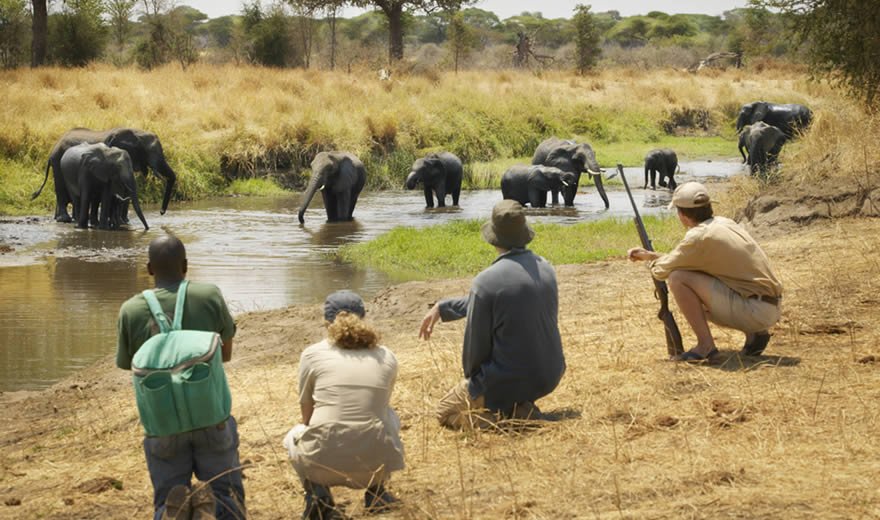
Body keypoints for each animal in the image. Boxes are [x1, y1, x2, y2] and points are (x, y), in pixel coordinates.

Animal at [33, 128, 177, 223]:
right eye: (150, 152)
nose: (161, 212)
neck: (138, 132)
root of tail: (54, 148)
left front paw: (124, 221)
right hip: (58, 162)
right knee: (61, 188)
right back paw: (65, 219)